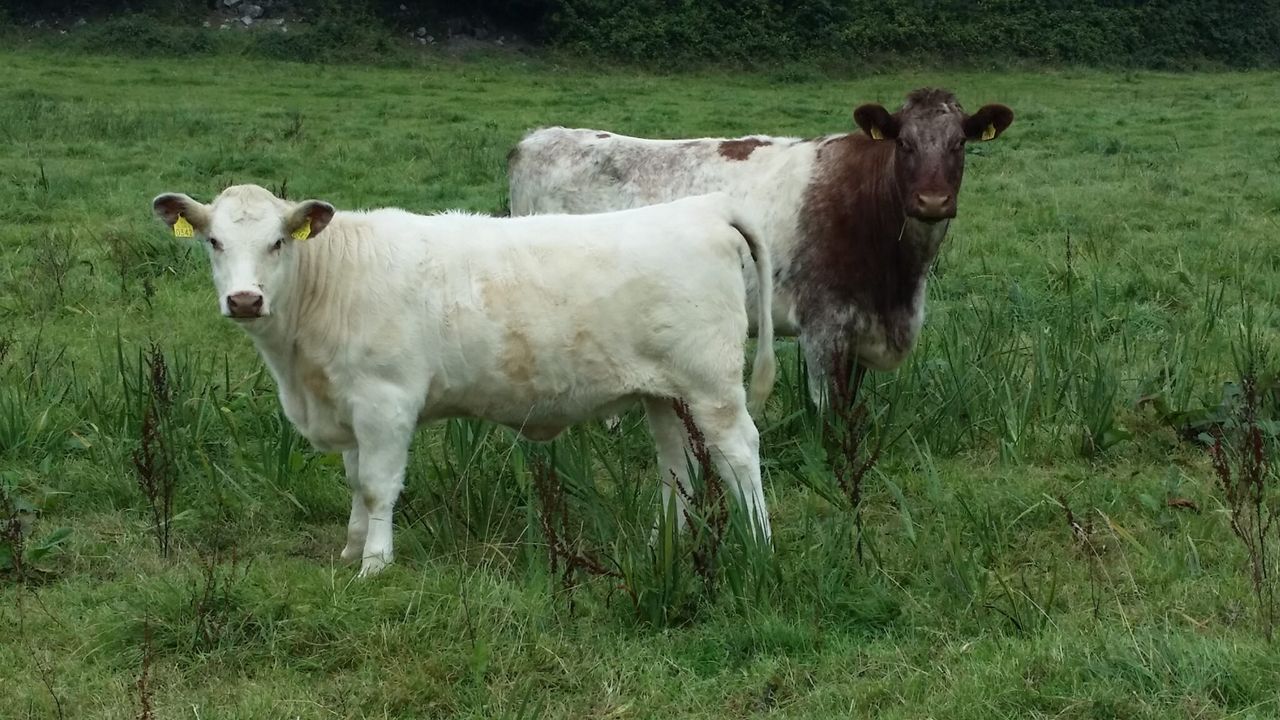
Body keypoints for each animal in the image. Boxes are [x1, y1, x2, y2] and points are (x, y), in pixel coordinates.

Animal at [151, 184, 776, 577]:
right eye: (213, 242)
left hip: (712, 385)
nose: (245, 299)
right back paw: (659, 547)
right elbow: (354, 482)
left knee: (740, 454)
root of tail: (705, 208)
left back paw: (759, 544)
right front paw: (351, 550)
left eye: (277, 242)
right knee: (677, 469)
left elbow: (377, 485)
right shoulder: (348, 405)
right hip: (662, 393)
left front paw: (375, 564)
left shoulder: (385, 401)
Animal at [508, 88, 1014, 407]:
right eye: (904, 143)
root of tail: (536, 137)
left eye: (959, 143)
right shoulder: (824, 328)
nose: (932, 201)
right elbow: (834, 416)